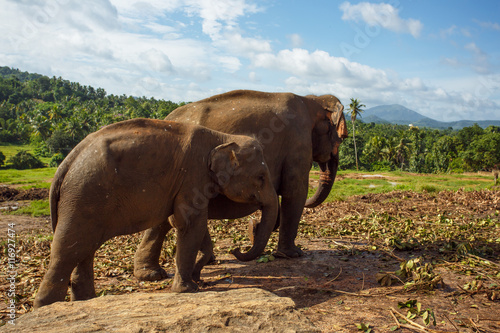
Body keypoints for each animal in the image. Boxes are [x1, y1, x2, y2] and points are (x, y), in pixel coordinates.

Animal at [33, 118, 280, 308]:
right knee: (67, 251)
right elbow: (190, 222)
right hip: (83, 195)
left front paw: (194, 278)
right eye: (260, 177)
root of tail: (66, 162)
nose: (235, 249)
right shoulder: (193, 175)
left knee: (84, 249)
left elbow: (191, 223)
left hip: (84, 200)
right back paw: (47, 308)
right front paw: (188, 289)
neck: (221, 137)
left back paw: (86, 301)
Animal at [134, 89, 348, 280]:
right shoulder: (298, 141)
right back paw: (156, 273)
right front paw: (292, 254)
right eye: (343, 138)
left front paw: (257, 230)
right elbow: (294, 192)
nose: (236, 249)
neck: (312, 99)